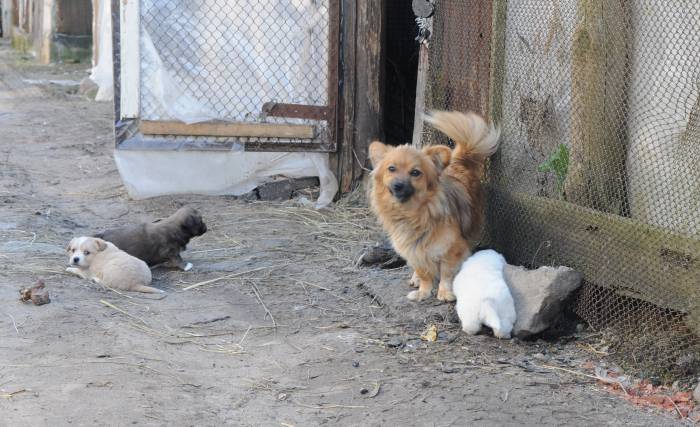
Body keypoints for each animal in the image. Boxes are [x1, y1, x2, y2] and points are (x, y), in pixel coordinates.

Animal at [370, 112, 500, 302]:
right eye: (391, 169)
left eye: (415, 173)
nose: (398, 186)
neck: (412, 213)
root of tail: (457, 162)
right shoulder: (413, 249)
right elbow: (424, 272)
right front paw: (423, 291)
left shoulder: (453, 248)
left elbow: (446, 273)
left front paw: (445, 292)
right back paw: (415, 279)